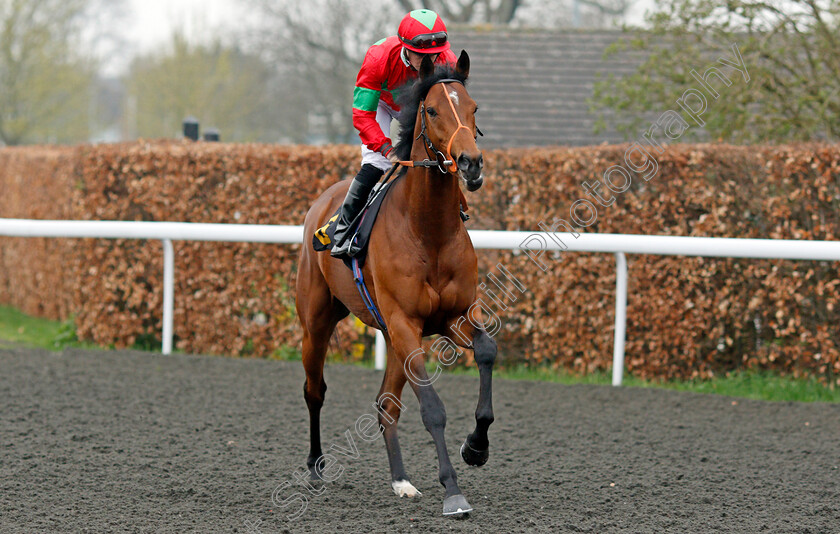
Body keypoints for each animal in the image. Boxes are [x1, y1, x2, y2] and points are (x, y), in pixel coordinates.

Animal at [296, 51, 496, 520]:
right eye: (433, 110)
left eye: (474, 107)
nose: (471, 163)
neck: (428, 231)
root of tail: (322, 202)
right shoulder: (406, 323)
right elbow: (433, 409)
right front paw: (453, 492)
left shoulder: (454, 315)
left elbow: (487, 351)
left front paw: (476, 447)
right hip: (317, 322)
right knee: (315, 391)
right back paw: (314, 468)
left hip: (391, 336)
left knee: (387, 404)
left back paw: (401, 481)